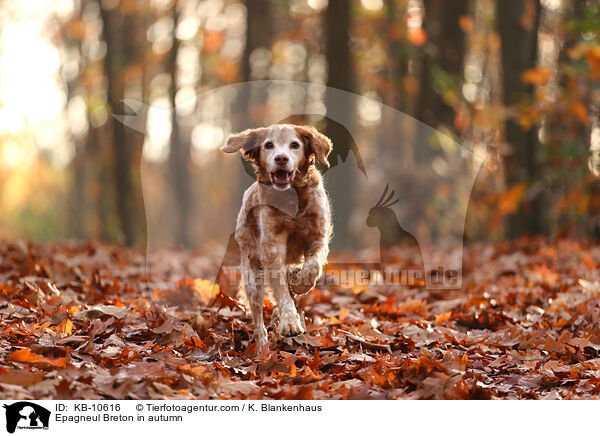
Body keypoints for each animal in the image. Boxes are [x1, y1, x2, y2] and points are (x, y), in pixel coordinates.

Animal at [220, 124, 332, 350]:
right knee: (257, 313)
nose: (281, 158)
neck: (291, 199)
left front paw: (299, 282)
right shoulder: (272, 249)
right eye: (269, 145)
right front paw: (289, 323)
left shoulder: (318, 238)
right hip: (252, 274)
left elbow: (312, 267)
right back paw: (262, 345)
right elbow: (281, 290)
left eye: (295, 145)